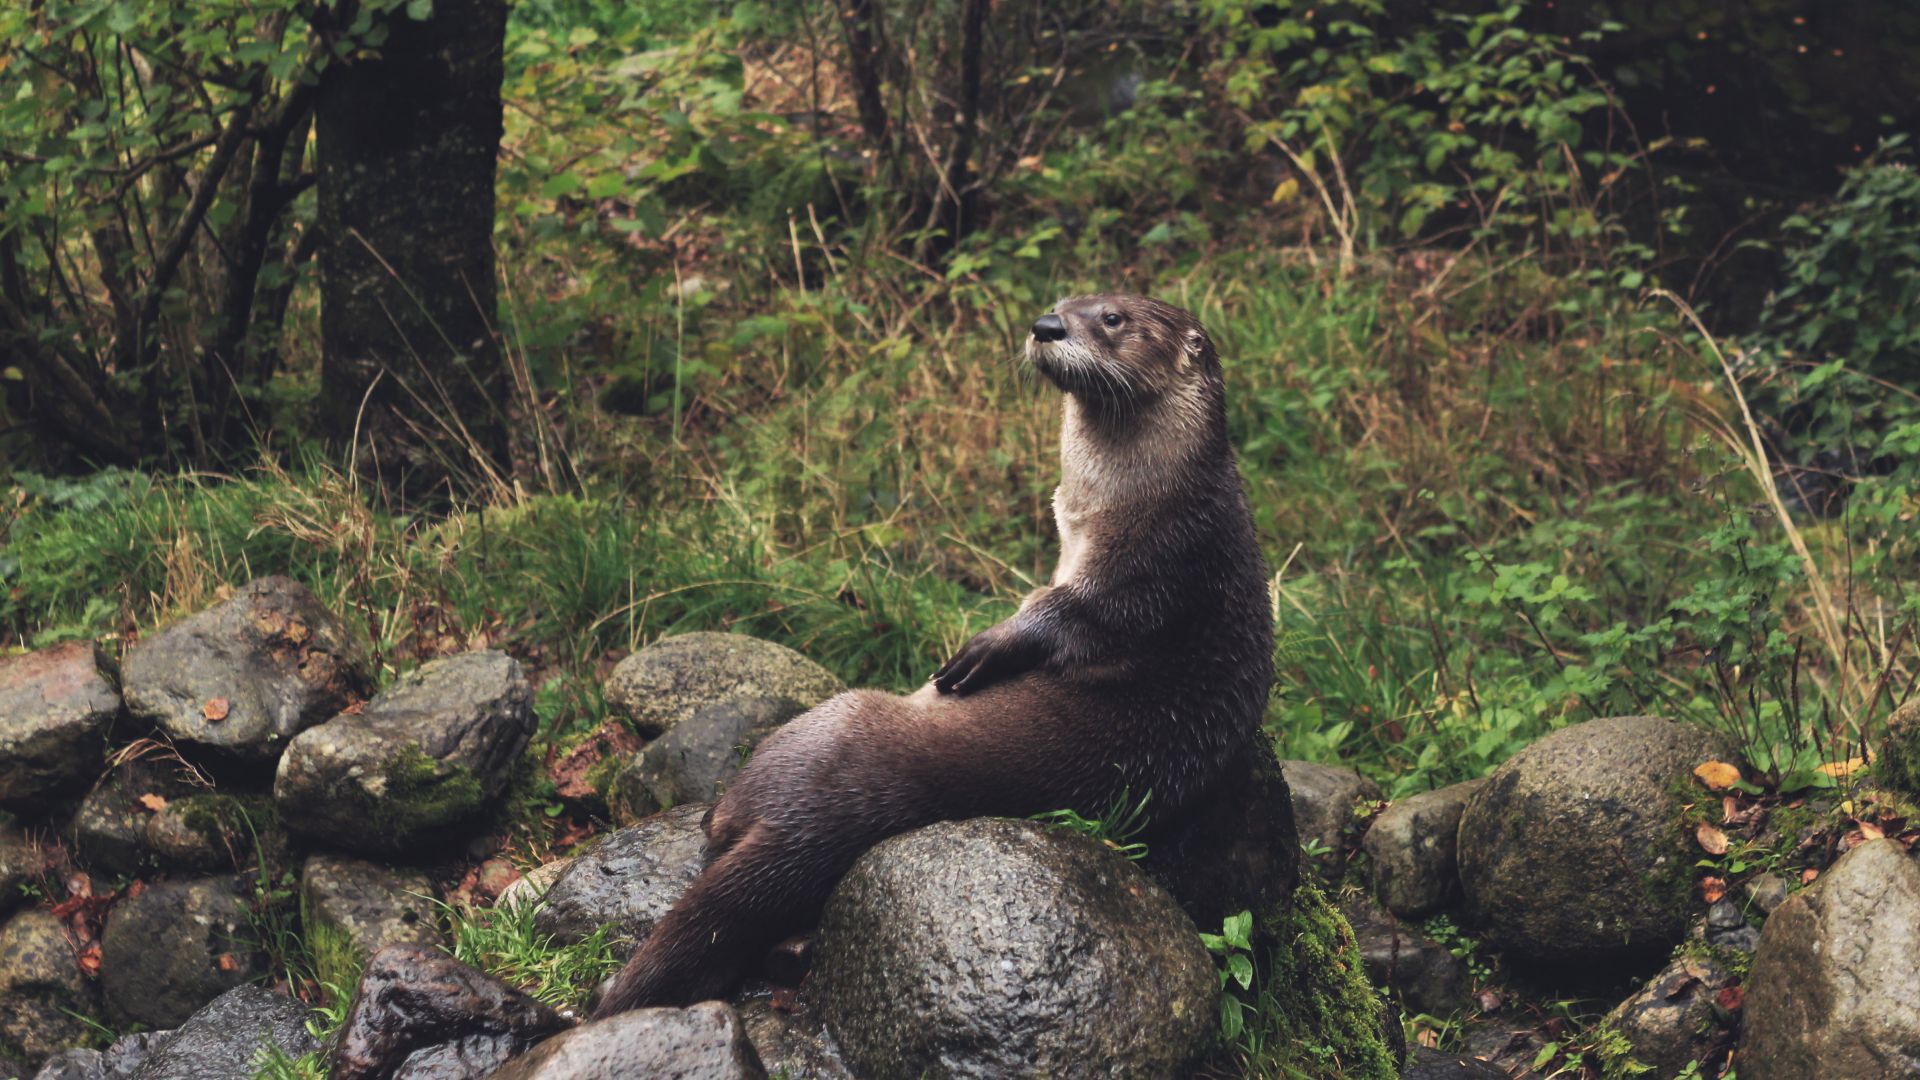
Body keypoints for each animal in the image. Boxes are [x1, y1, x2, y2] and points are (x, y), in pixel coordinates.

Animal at [591, 292, 1267, 1006]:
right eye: (1062, 302)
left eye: (1111, 318)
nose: (1046, 326)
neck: (1144, 494)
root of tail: (802, 825)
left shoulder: (1155, 563)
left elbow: (1072, 613)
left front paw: (985, 648)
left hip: (824, 724)